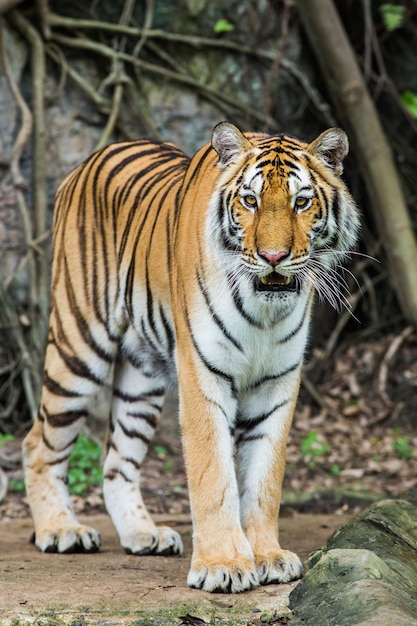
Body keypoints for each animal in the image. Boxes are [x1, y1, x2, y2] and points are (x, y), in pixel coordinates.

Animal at [23, 120, 358, 588]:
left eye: (302, 202)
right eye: (250, 201)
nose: (274, 257)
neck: (264, 311)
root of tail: (87, 162)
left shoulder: (277, 383)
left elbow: (265, 480)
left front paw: (268, 556)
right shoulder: (203, 373)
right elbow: (213, 474)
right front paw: (225, 566)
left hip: (140, 380)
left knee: (117, 460)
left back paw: (143, 534)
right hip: (78, 344)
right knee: (39, 441)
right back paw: (60, 529)